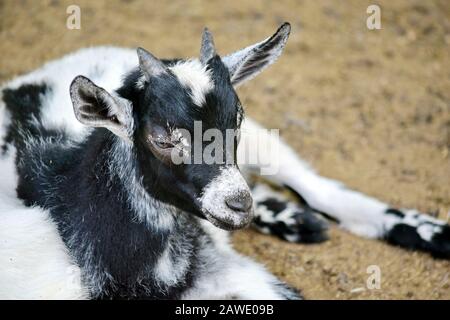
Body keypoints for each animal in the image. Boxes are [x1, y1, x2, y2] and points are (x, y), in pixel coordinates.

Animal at [0, 23, 448, 300]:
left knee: (317, 188)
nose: (238, 203)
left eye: (237, 118)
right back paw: (289, 217)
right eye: (162, 139)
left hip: (263, 145)